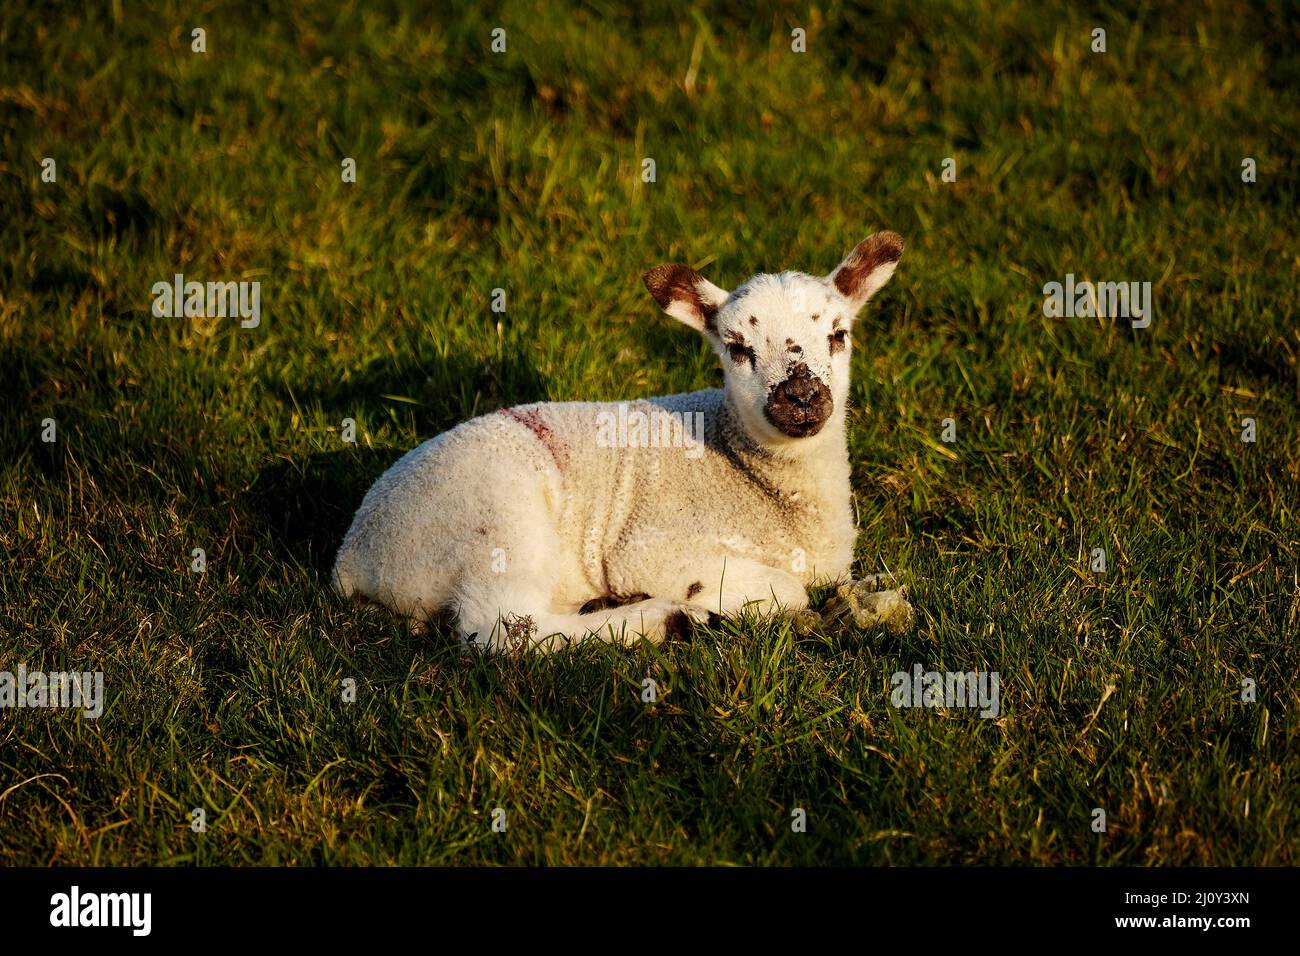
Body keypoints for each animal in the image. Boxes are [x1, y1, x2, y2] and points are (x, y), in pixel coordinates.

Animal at [335, 230, 915, 650]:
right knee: (504, 628)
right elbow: (788, 592)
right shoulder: (648, 546)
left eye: (838, 335)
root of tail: (354, 554)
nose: (801, 396)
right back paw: (666, 620)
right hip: (492, 516)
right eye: (738, 347)